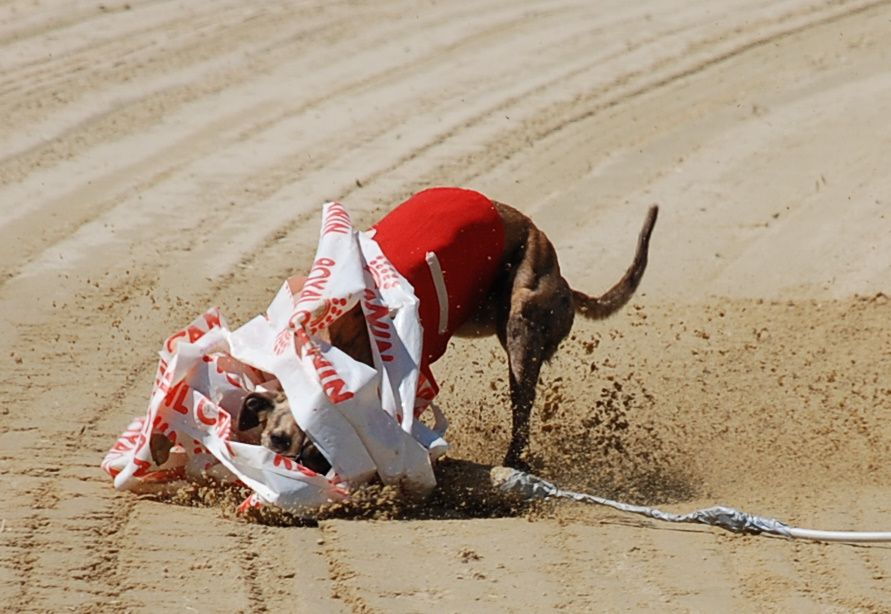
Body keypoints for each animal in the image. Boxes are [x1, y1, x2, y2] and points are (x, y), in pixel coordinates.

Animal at [240, 190, 660, 474]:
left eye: (322, 448)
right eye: (277, 439)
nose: (306, 471)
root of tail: (562, 276)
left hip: (524, 320)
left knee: (522, 406)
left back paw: (514, 462)